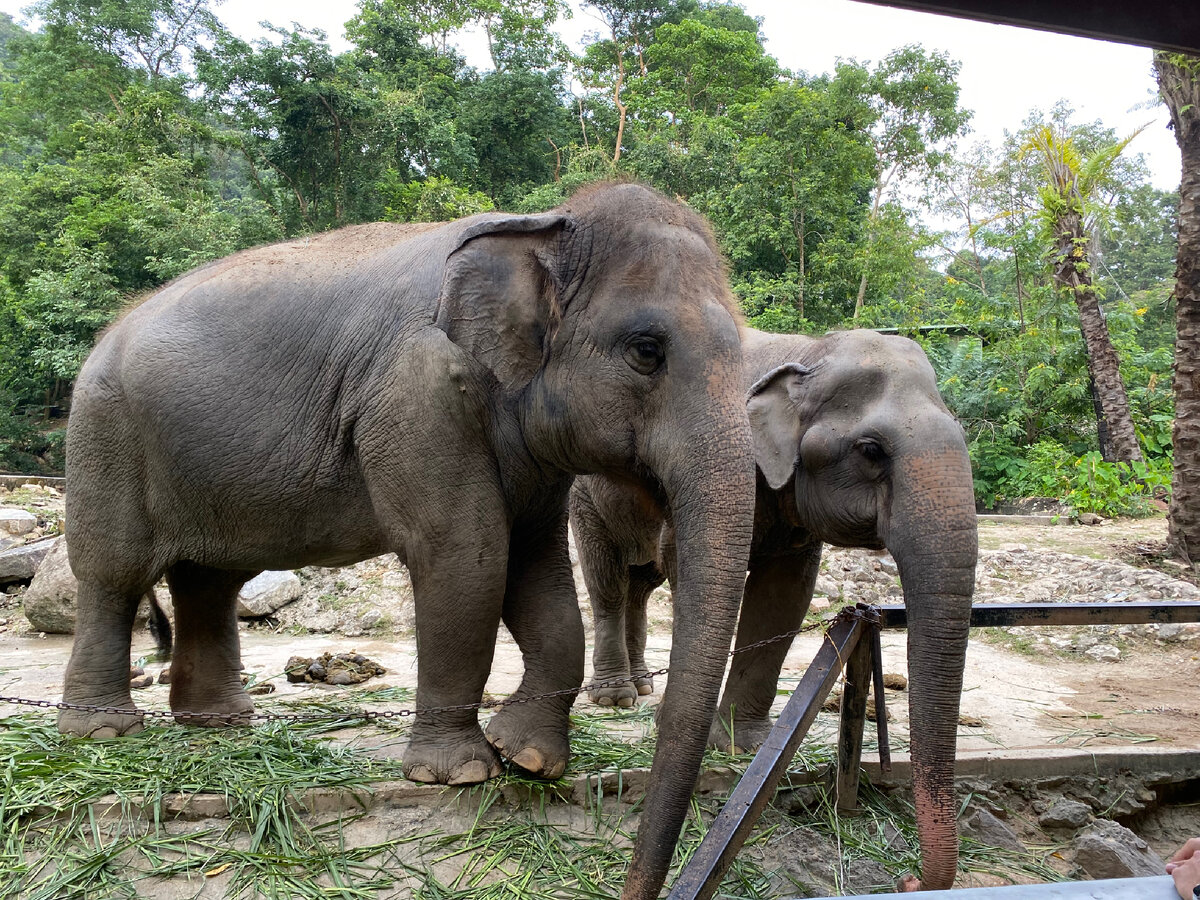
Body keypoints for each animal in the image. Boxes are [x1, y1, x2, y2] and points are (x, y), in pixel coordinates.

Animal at [60, 183, 753, 900]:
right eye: (646, 351)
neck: (549, 227)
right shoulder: (415, 395)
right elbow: (466, 558)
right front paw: (458, 774)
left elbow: (539, 575)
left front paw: (530, 759)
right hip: (106, 433)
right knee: (112, 574)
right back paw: (103, 729)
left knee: (209, 580)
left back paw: (220, 723)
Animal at [568, 328, 974, 892]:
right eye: (871, 450)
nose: (908, 881)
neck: (807, 352)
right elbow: (693, 569)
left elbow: (785, 595)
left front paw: (744, 743)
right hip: (585, 497)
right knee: (608, 580)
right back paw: (615, 698)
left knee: (641, 583)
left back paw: (644, 686)